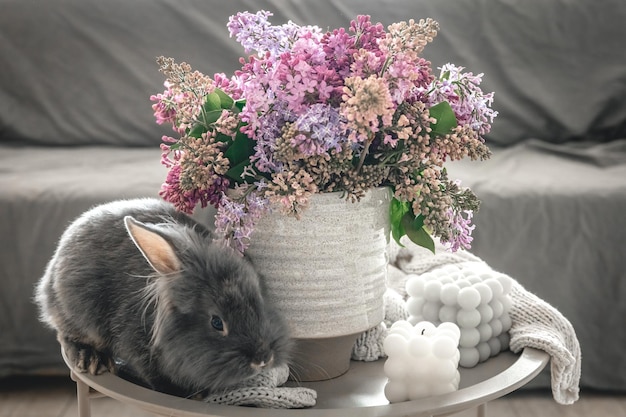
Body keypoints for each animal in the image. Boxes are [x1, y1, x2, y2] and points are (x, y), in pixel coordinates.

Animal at [36, 198, 292, 396]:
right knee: (65, 334)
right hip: (76, 312)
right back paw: (91, 359)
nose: (262, 359)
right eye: (217, 322)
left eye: (260, 302)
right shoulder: (136, 346)